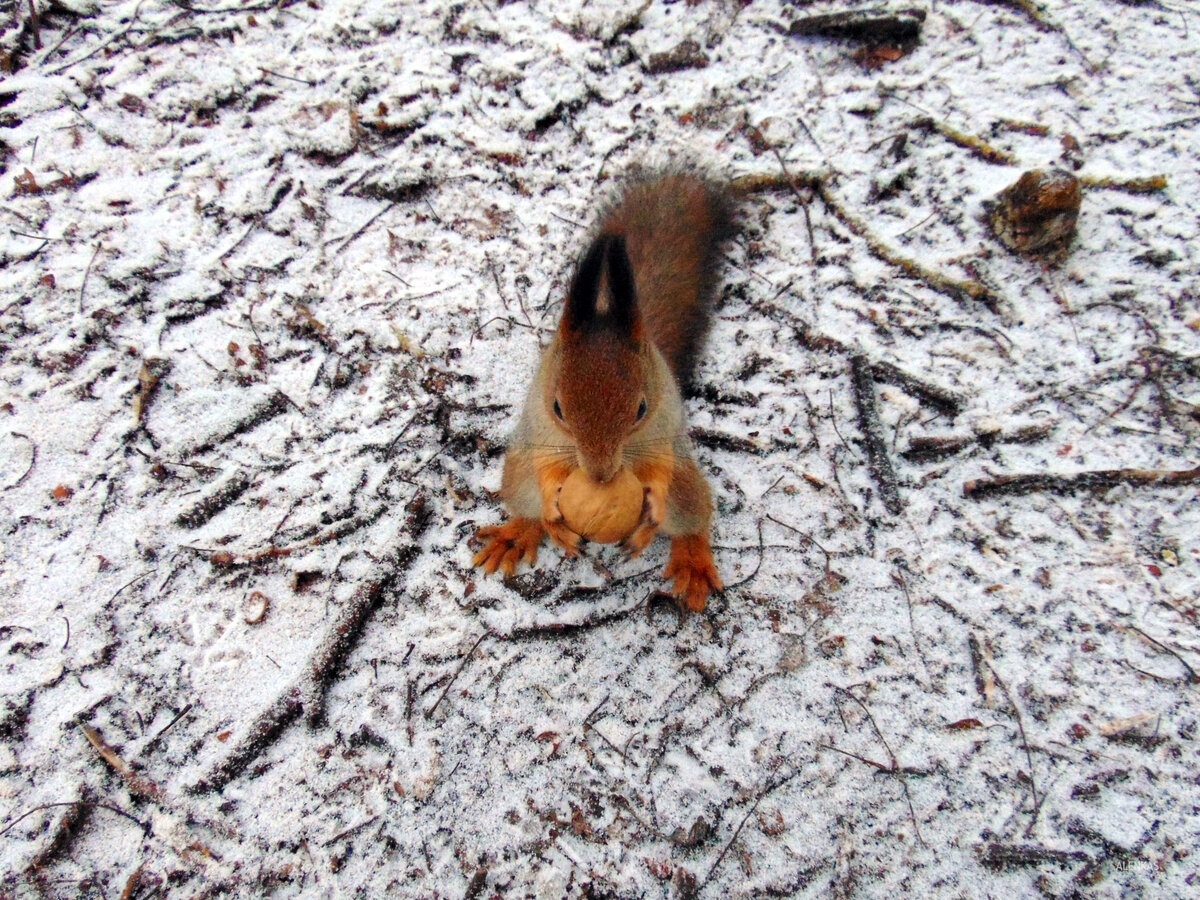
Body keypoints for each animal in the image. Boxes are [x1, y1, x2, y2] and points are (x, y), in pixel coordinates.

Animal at [473, 172, 733, 612]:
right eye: (558, 407)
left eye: (641, 408)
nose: (599, 474)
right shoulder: (540, 425)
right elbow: (547, 468)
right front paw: (551, 514)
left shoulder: (662, 427)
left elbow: (659, 469)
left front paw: (652, 511)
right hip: (517, 475)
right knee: (527, 505)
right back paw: (519, 532)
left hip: (687, 487)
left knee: (692, 519)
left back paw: (692, 561)